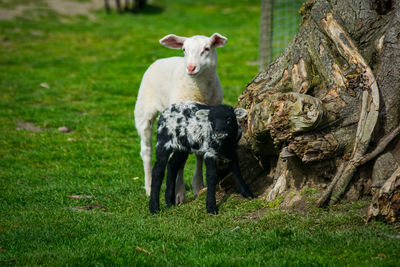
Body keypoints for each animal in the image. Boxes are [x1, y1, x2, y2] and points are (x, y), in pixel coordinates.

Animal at [134, 32, 227, 204]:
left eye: (207, 48)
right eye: (184, 49)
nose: (190, 68)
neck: (198, 93)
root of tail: (161, 59)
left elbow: (199, 154)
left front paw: (198, 186)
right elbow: (179, 160)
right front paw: (178, 193)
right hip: (144, 110)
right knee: (146, 150)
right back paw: (149, 187)